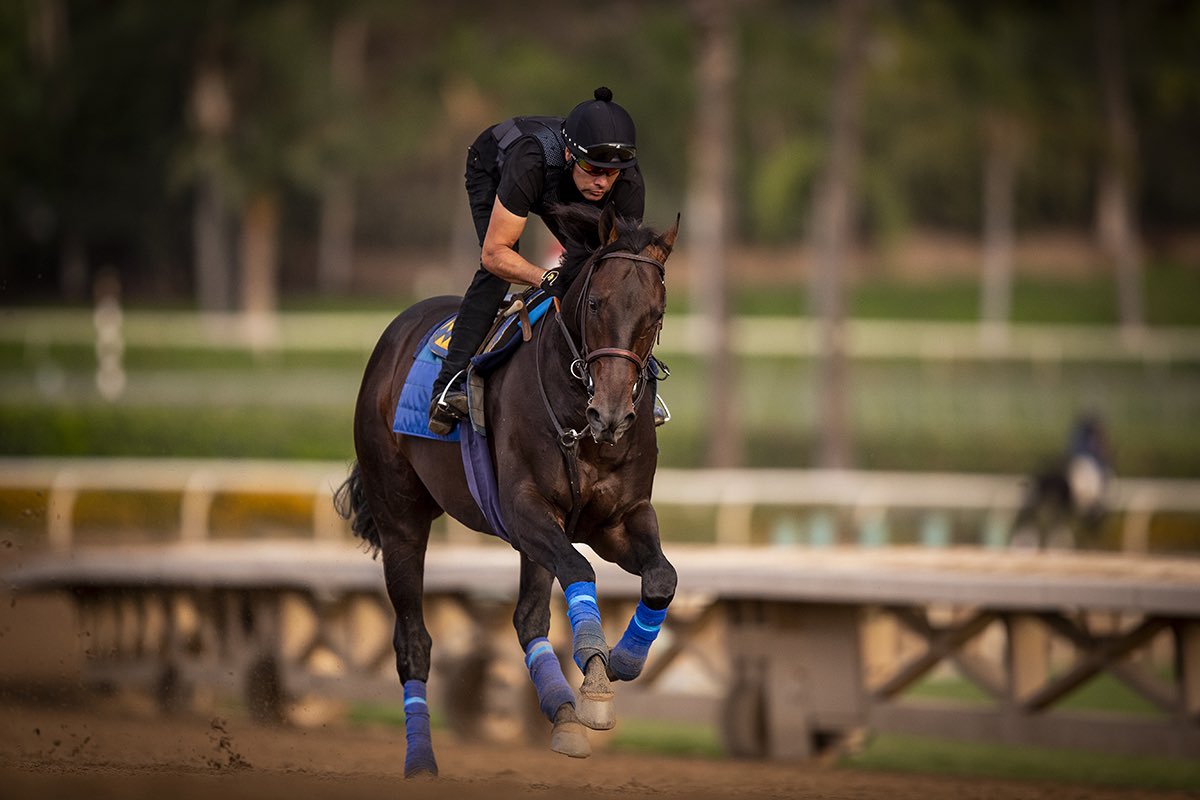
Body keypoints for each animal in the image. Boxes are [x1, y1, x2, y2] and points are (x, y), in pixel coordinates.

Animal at [335, 204, 680, 777]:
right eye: (595, 302)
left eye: (655, 313)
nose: (610, 414)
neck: (579, 423)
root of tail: (397, 332)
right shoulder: (524, 511)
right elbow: (580, 570)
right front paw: (595, 681)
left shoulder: (617, 519)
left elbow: (661, 579)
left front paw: (622, 662)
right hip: (399, 517)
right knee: (414, 641)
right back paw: (421, 760)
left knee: (527, 619)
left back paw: (562, 716)